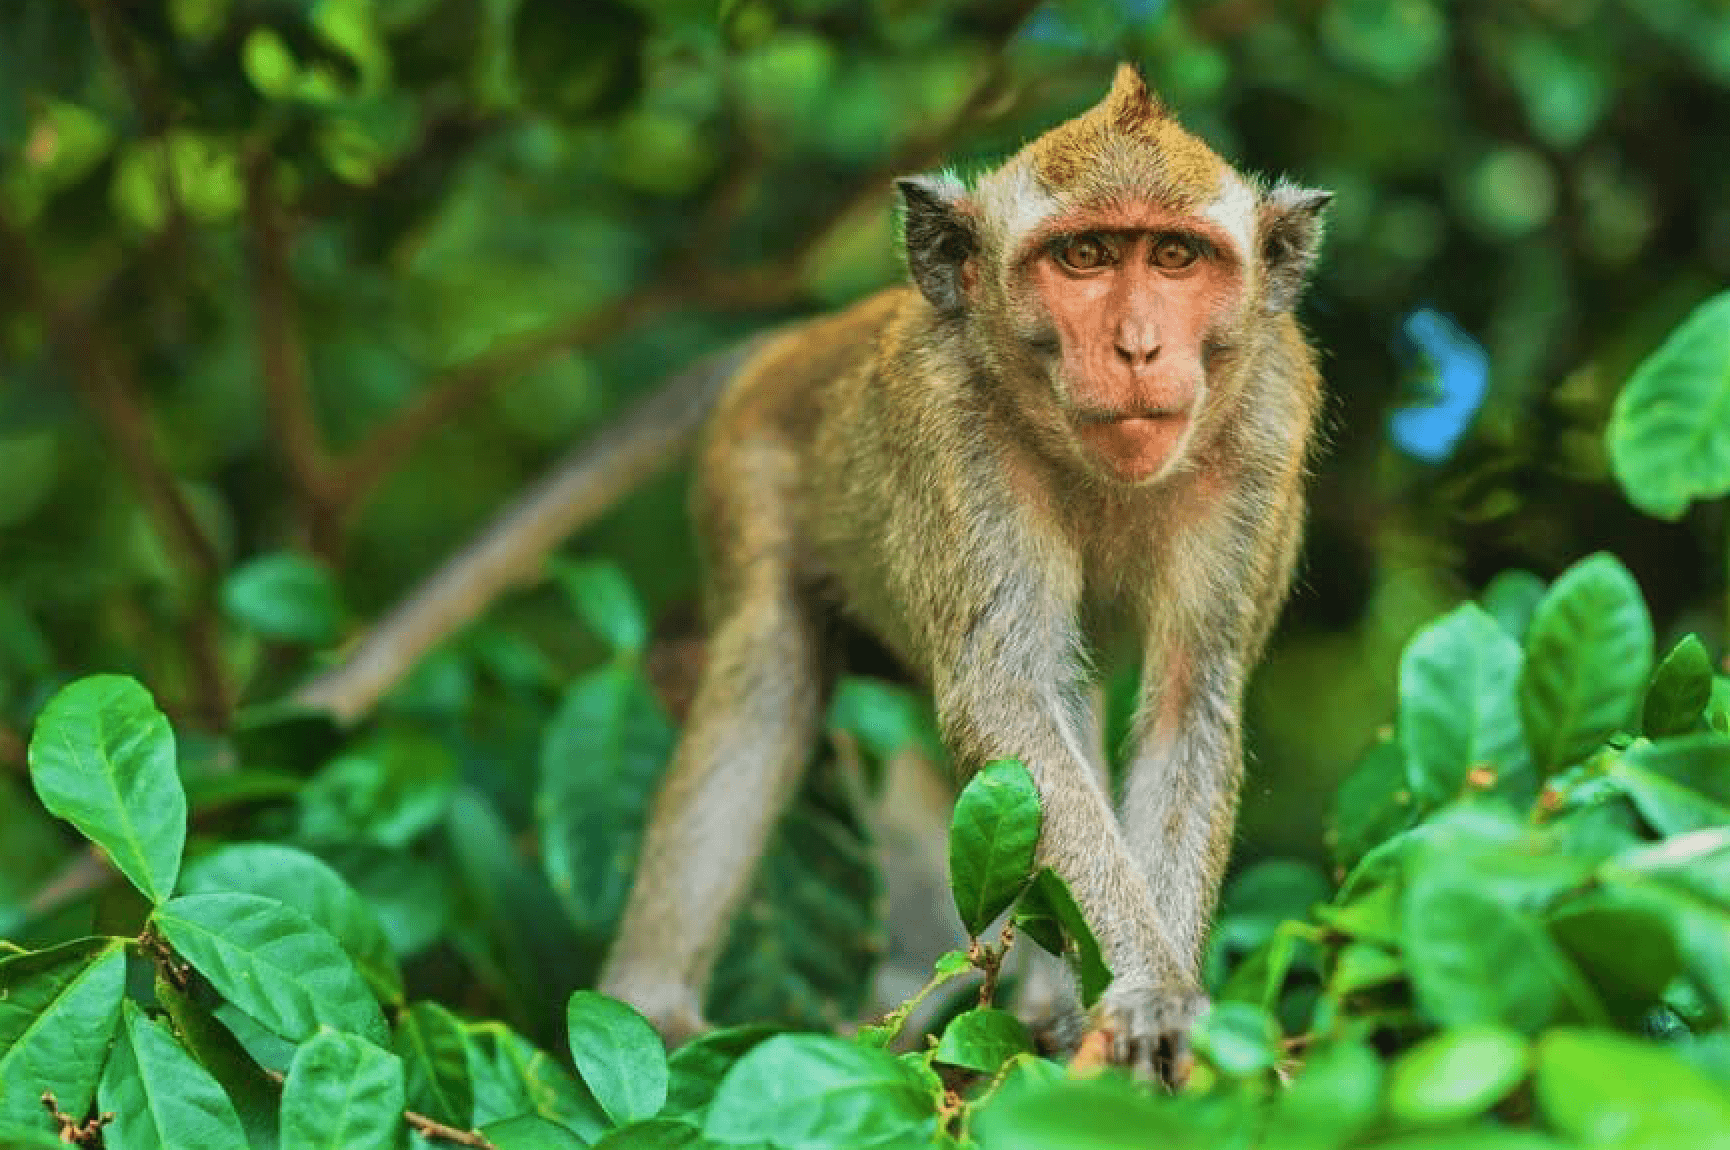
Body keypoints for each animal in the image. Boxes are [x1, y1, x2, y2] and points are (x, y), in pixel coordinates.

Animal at [588, 62, 1328, 1079]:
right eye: (1086, 255)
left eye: (1177, 257)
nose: (1138, 347)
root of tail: (804, 340)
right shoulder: (952, 430)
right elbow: (1005, 694)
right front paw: (1150, 992)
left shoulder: (1265, 425)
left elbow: (1188, 699)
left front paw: (1162, 1011)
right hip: (748, 473)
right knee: (771, 673)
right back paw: (652, 1010)